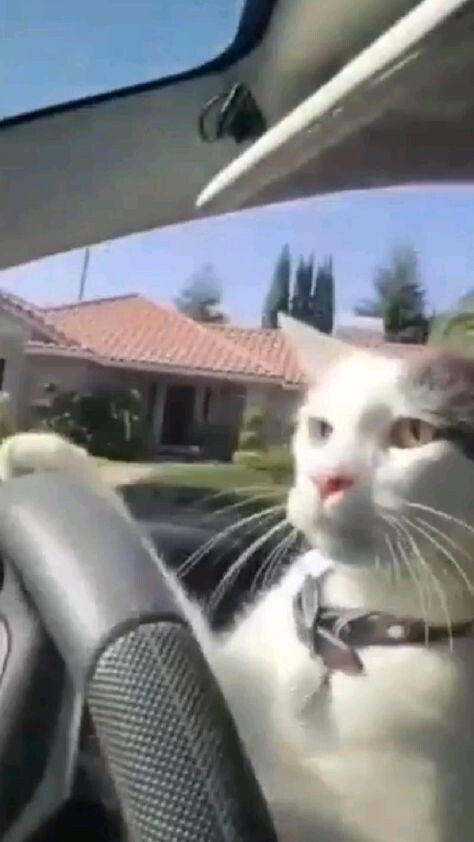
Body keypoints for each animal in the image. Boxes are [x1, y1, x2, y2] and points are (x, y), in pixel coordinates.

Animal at [2, 313, 474, 842]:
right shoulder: (218, 687)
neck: (345, 624)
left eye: (415, 432)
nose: (327, 479)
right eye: (321, 429)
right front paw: (45, 455)